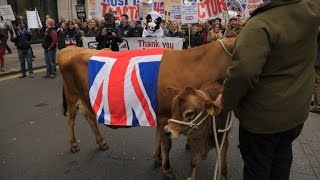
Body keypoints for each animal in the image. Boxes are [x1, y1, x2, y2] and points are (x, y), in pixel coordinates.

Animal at [58, 37, 236, 174]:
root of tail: (70, 48)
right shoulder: (164, 114)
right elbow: (166, 143)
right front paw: (167, 169)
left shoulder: (160, 115)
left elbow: (159, 137)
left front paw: (157, 158)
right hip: (72, 96)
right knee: (71, 120)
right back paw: (73, 144)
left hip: (86, 99)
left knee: (90, 118)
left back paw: (101, 142)